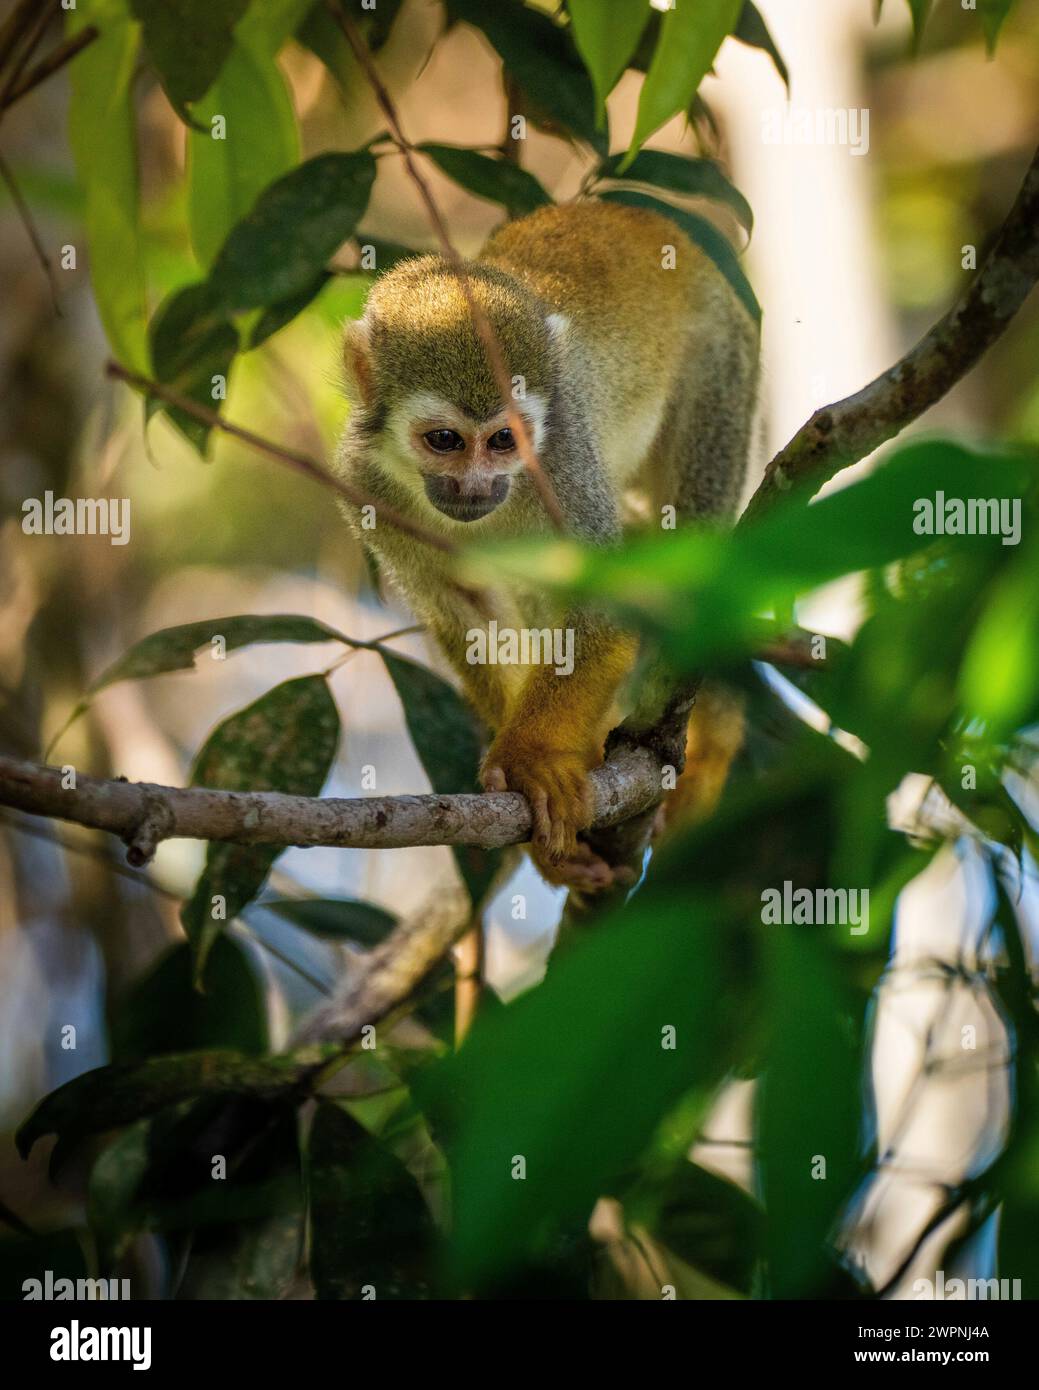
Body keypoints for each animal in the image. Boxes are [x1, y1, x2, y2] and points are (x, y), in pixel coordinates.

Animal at [337, 198, 762, 889]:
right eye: (446, 441)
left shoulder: (559, 459)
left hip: (724, 358)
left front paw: (531, 756)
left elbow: (603, 612)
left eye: (504, 440)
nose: (476, 487)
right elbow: (462, 613)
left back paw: (705, 746)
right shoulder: (360, 485)